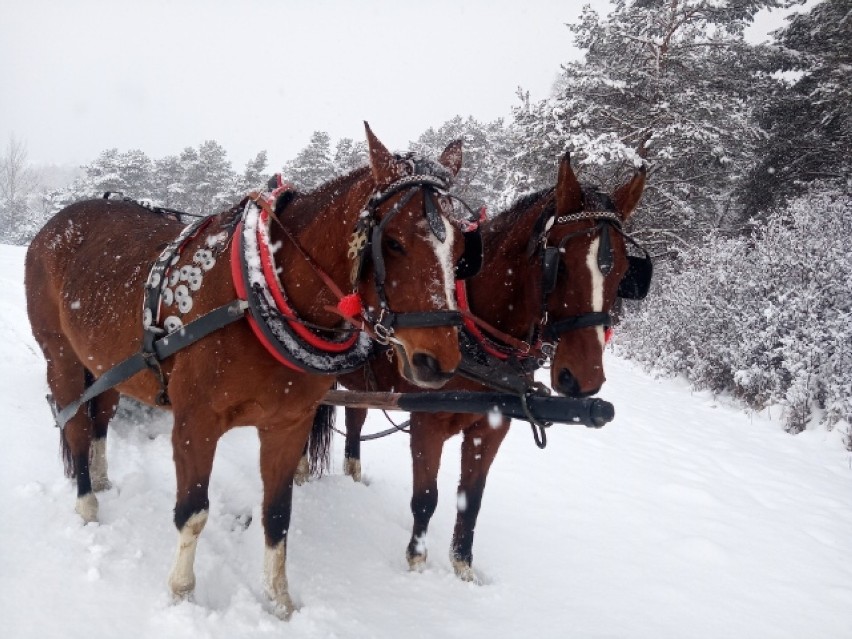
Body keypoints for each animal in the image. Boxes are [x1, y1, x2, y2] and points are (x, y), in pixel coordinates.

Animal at [23, 125, 472, 620]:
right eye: (392, 241)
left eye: (462, 248)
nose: (438, 362)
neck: (264, 289)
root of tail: (55, 224)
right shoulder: (195, 423)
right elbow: (193, 512)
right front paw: (182, 592)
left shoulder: (288, 424)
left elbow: (278, 515)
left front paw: (280, 601)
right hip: (62, 357)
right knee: (76, 427)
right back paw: (87, 502)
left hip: (104, 364)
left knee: (100, 416)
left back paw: (102, 477)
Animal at [336, 154, 644, 580]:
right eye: (559, 266)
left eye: (624, 274)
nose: (584, 379)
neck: (479, 339)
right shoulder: (426, 423)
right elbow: (426, 497)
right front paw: (416, 565)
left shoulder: (492, 427)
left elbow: (472, 499)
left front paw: (463, 569)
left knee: (353, 420)